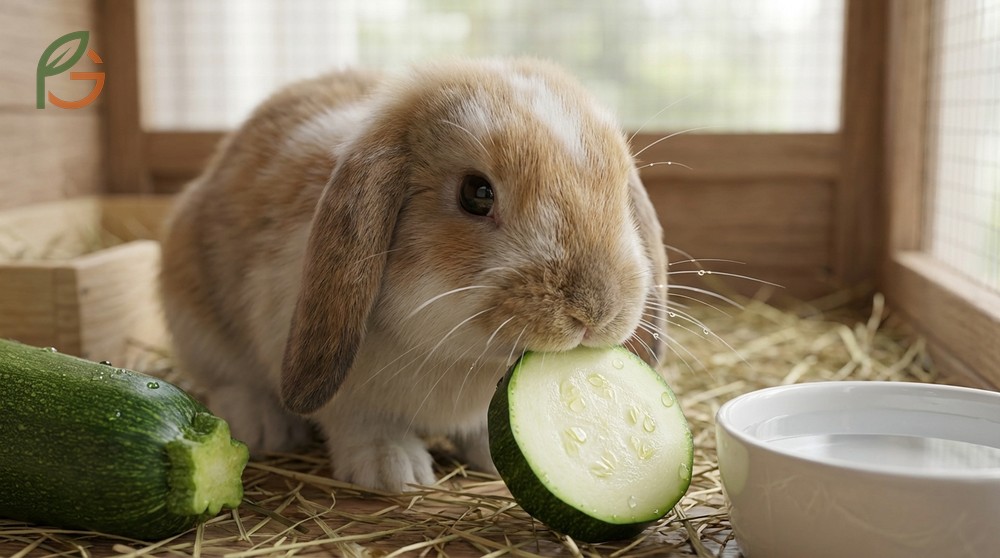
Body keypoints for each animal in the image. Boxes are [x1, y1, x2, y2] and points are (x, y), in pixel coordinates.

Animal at [159, 57, 668, 492]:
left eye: (619, 192)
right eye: (476, 194)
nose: (594, 311)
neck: (461, 357)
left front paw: (495, 458)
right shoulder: (342, 387)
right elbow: (363, 421)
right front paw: (393, 470)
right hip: (194, 320)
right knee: (229, 379)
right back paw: (265, 426)